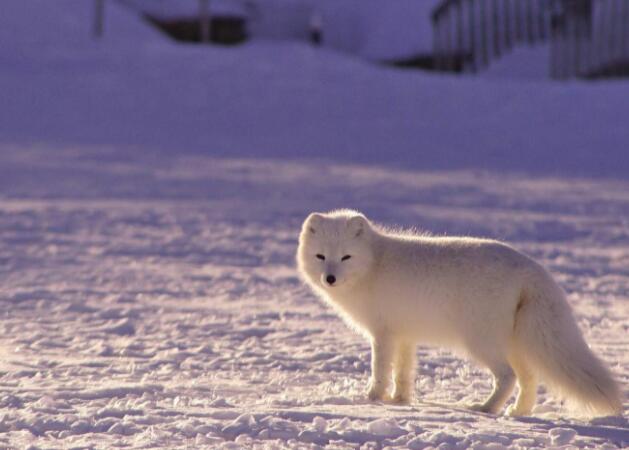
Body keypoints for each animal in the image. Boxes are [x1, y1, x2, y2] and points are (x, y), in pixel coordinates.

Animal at [296, 209, 620, 416]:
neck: (374, 264)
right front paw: (400, 401)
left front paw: (372, 399)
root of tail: (532, 268)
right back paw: (517, 412)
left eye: (346, 257)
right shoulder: (404, 335)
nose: (330, 278)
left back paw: (487, 408)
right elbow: (404, 372)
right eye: (321, 256)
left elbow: (380, 370)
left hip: (480, 342)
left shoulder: (383, 334)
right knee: (529, 379)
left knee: (508, 377)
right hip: (515, 343)